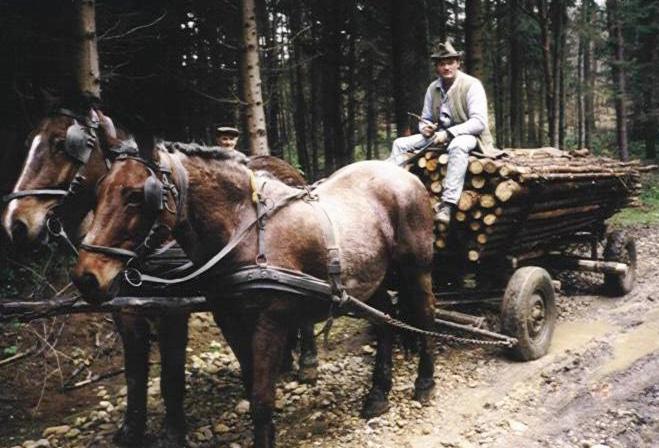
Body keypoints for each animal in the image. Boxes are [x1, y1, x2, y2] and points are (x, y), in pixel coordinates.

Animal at [0, 104, 318, 444]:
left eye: (61, 145)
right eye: (28, 145)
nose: (15, 223)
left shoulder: (172, 308)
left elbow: (170, 376)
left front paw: (174, 432)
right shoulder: (126, 308)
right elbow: (134, 373)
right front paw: (132, 428)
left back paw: (307, 363)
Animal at [71, 142, 438, 446]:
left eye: (136, 196)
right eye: (98, 191)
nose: (86, 277)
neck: (243, 231)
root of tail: (405, 174)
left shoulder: (270, 321)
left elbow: (262, 398)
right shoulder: (231, 320)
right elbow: (251, 387)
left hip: (416, 269)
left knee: (425, 317)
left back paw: (424, 383)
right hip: (369, 279)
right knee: (385, 319)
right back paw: (378, 394)